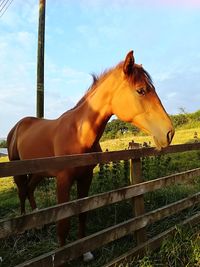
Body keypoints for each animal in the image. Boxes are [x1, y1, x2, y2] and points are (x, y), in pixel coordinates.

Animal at [7, 50, 174, 262]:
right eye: (141, 90)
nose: (169, 133)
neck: (78, 133)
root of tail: (18, 126)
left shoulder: (85, 178)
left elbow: (82, 213)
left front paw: (84, 251)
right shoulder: (63, 180)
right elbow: (63, 222)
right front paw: (63, 256)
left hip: (39, 172)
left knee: (29, 190)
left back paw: (38, 223)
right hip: (18, 170)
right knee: (22, 192)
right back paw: (24, 228)